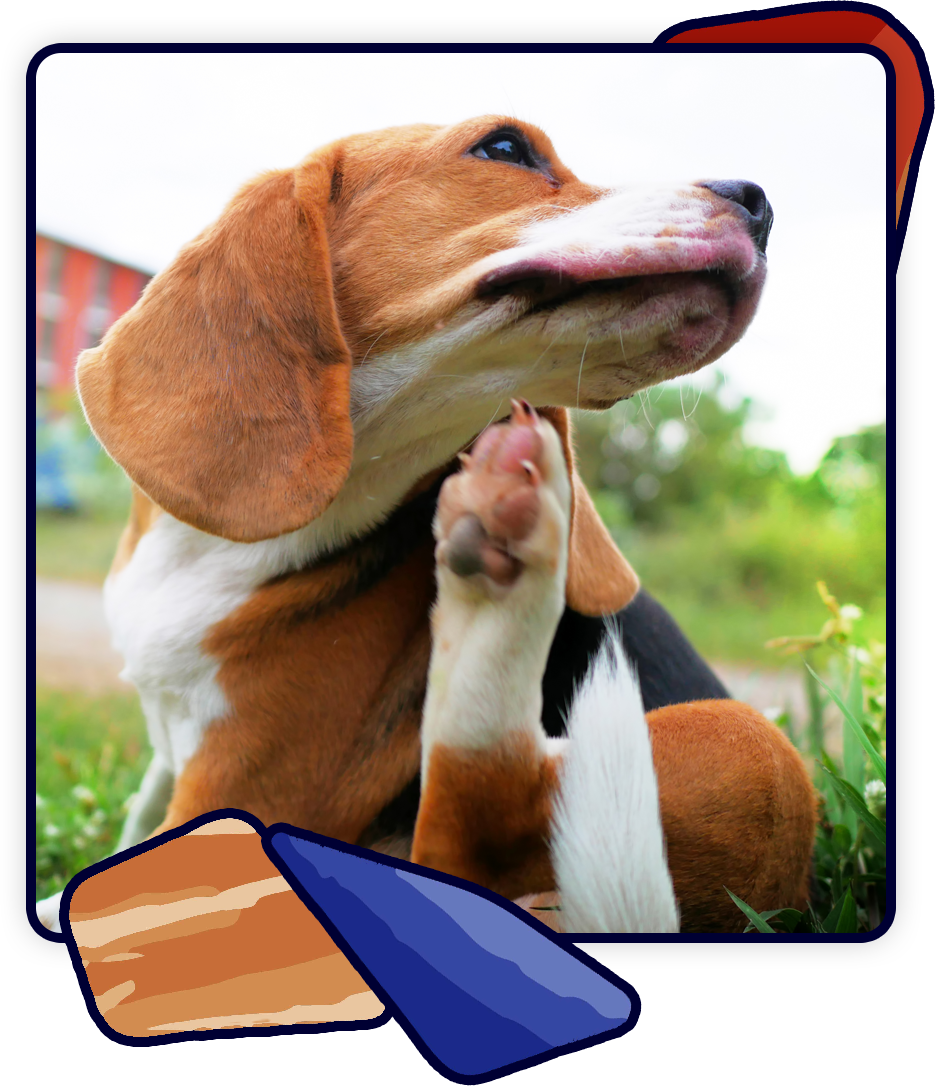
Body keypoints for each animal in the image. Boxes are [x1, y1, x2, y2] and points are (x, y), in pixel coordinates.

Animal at [34, 116, 807, 933]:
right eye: (504, 148)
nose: (759, 202)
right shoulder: (171, 762)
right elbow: (130, 827)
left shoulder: (241, 793)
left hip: (750, 743)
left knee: (471, 843)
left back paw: (502, 589)